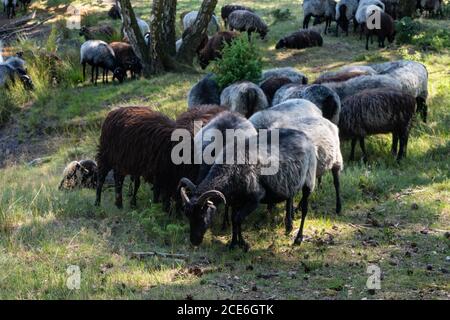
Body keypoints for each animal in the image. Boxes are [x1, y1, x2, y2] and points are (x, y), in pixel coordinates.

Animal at [95, 104, 225, 210]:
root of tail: (114, 111)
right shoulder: (163, 175)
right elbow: (164, 195)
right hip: (106, 154)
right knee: (101, 177)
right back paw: (98, 203)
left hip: (124, 161)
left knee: (119, 179)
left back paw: (121, 204)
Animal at [179, 129, 316, 249]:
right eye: (187, 216)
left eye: (201, 215)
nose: (194, 241)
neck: (230, 171)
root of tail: (305, 136)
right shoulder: (235, 201)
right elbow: (234, 220)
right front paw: (233, 244)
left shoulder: (254, 199)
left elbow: (238, 219)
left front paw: (243, 244)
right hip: (291, 181)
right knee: (290, 197)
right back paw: (289, 226)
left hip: (309, 180)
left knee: (305, 209)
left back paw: (298, 239)